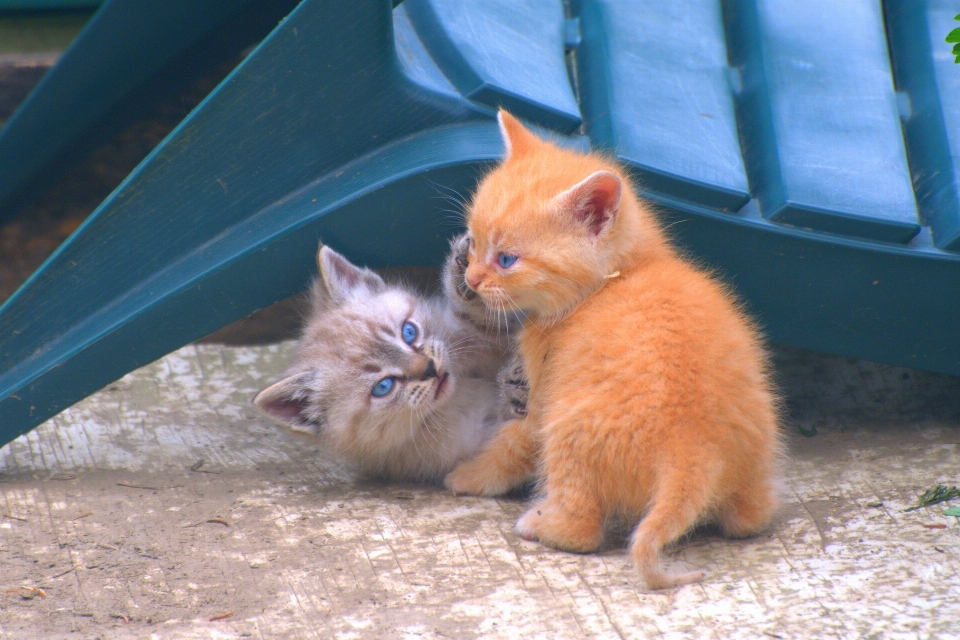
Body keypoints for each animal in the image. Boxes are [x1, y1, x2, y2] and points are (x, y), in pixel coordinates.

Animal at [251, 235, 528, 480]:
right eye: (383, 386)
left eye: (408, 332)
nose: (430, 368)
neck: (460, 389)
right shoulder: (469, 444)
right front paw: (515, 390)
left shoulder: (482, 336)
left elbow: (481, 318)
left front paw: (465, 270)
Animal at [446, 110, 784, 592]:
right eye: (472, 243)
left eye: (507, 259)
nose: (471, 280)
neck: (618, 278)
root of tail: (694, 450)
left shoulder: (543, 400)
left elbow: (512, 444)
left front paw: (467, 476)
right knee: (752, 518)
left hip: (568, 430)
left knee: (583, 530)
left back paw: (542, 524)